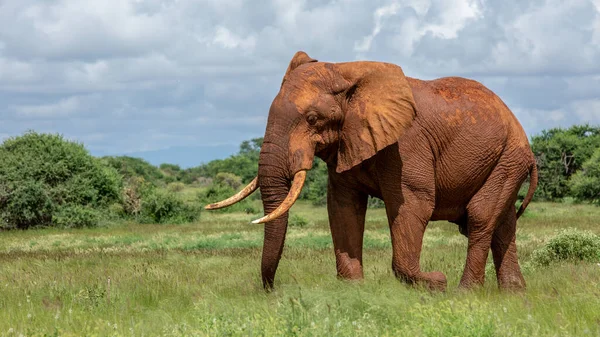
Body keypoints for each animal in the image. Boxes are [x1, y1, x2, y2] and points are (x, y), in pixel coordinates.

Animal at [207, 51, 540, 290]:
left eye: (313, 119)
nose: (272, 289)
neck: (347, 71)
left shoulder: (407, 144)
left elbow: (413, 204)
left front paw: (434, 283)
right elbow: (343, 207)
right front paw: (353, 289)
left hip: (509, 158)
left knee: (481, 217)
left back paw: (465, 292)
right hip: (506, 160)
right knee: (503, 224)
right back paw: (514, 293)